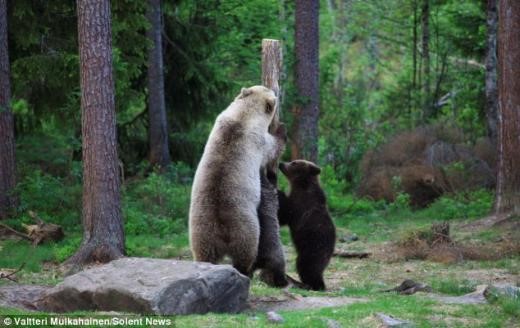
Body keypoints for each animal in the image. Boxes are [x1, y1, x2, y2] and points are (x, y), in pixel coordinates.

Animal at [188, 86, 284, 276]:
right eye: (270, 93)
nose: (276, 93)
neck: (244, 115)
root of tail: (221, 232)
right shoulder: (258, 140)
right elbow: (273, 148)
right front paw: (281, 130)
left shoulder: (221, 120)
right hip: (244, 226)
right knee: (246, 251)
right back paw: (245, 270)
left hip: (201, 230)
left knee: (203, 251)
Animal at [278, 159, 336, 290]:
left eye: (294, 163)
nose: (281, 163)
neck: (302, 185)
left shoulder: (299, 206)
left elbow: (284, 214)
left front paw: (278, 191)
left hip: (312, 248)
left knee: (306, 266)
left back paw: (311, 284)